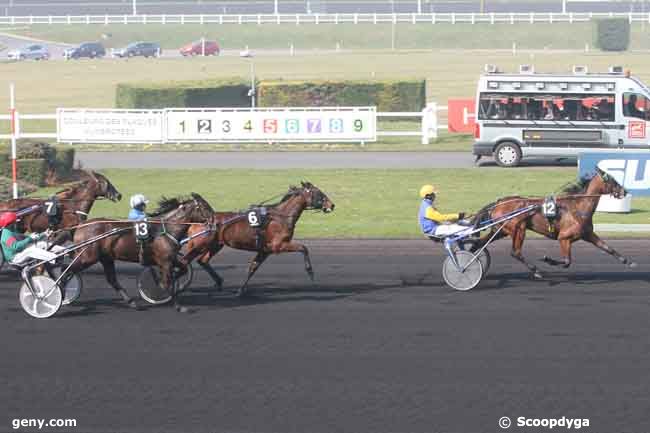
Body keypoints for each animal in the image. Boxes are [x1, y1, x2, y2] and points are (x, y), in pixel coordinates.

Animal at [69, 193, 214, 310]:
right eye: (205, 207)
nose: (213, 222)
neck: (166, 229)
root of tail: (80, 227)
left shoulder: (169, 259)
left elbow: (182, 269)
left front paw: (175, 278)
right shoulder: (165, 261)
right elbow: (166, 282)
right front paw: (178, 306)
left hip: (106, 258)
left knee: (112, 280)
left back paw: (132, 303)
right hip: (88, 257)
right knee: (69, 271)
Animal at [181, 181, 336, 296]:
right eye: (318, 192)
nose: (332, 205)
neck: (280, 217)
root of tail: (197, 221)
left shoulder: (265, 250)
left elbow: (253, 268)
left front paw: (240, 291)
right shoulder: (278, 246)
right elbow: (304, 248)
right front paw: (310, 273)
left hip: (215, 245)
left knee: (202, 260)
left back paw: (218, 282)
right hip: (201, 244)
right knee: (185, 260)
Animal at [470, 167, 632, 278]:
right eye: (612, 180)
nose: (625, 191)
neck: (578, 207)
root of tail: (498, 203)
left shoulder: (587, 234)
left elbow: (607, 248)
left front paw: (628, 261)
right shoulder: (564, 238)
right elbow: (567, 261)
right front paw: (548, 259)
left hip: (501, 230)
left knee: (478, 244)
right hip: (518, 229)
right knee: (515, 252)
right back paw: (536, 271)